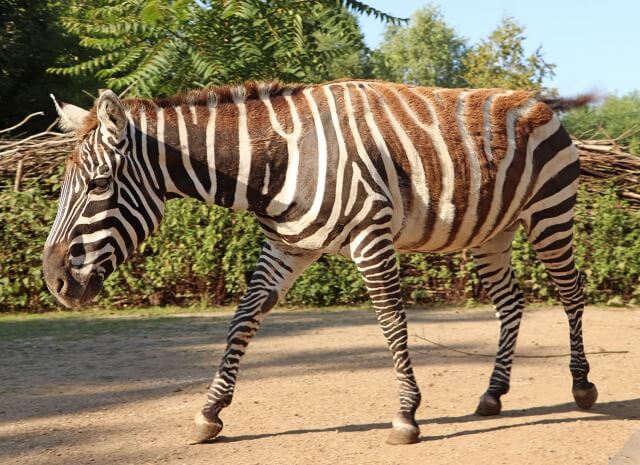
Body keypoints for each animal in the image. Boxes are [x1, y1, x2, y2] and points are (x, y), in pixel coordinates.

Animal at [43, 80, 598, 445]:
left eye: (97, 184)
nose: (53, 280)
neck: (277, 161)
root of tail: (536, 101)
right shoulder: (286, 247)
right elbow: (242, 320)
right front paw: (210, 412)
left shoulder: (371, 239)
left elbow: (392, 323)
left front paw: (405, 415)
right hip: (492, 233)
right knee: (510, 303)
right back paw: (493, 395)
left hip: (549, 214)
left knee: (571, 293)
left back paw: (581, 386)